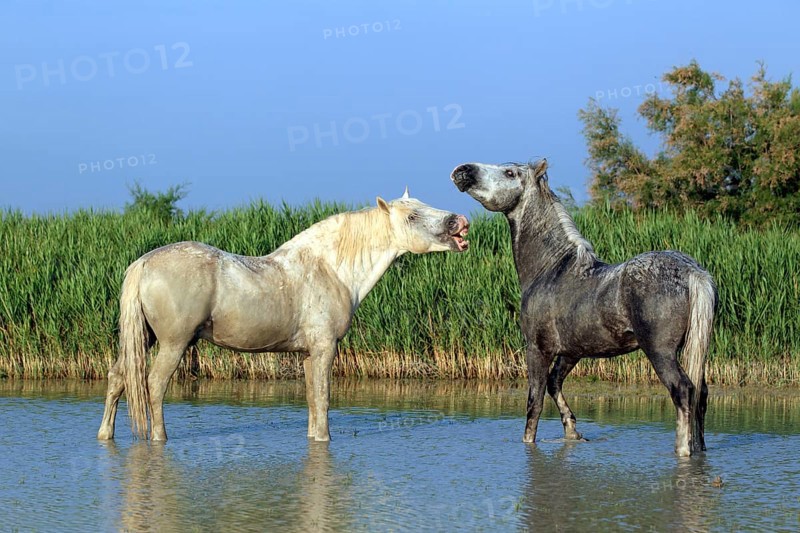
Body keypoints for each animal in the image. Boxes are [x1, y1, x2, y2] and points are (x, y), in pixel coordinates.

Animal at [97, 190, 470, 442]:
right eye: (412, 217)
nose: (460, 224)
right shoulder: (324, 349)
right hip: (173, 344)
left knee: (118, 378)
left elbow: (312, 401)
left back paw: (105, 435)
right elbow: (323, 400)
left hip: (143, 340)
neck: (330, 269)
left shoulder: (307, 355)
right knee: (153, 385)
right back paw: (159, 438)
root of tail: (144, 263)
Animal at [451, 159, 716, 456]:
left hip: (661, 352)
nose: (463, 171)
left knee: (682, 390)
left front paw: (530, 443)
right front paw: (573, 433)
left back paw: (682, 450)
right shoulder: (572, 352)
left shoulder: (537, 350)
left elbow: (534, 403)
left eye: (510, 173)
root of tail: (693, 272)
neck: (552, 269)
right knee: (701, 395)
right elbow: (555, 385)